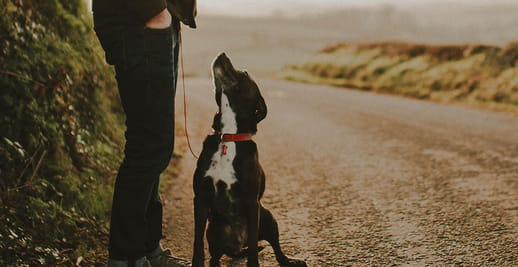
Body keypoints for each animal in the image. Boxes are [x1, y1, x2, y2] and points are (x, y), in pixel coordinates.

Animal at [194, 52, 308, 267]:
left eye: (245, 72)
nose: (223, 53)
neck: (229, 136)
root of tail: (238, 245)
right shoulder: (201, 199)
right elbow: (197, 244)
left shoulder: (251, 202)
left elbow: (255, 247)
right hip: (213, 230)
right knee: (214, 257)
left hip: (269, 218)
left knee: (275, 247)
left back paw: (289, 261)